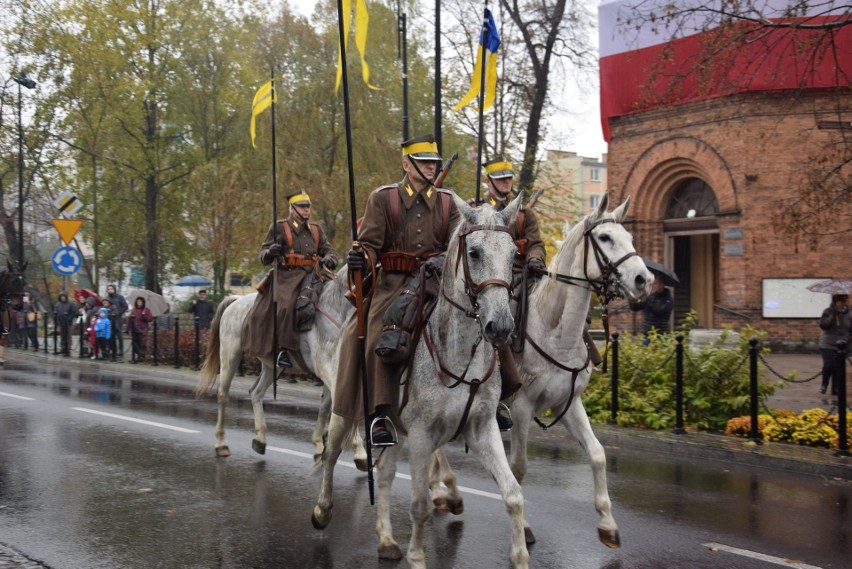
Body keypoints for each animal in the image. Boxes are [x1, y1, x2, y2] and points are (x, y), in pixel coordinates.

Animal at [196, 268, 370, 468]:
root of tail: (236, 302)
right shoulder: (327, 370)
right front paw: (360, 451)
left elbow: (326, 408)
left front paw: (319, 446)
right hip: (230, 354)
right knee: (223, 395)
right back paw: (221, 443)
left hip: (270, 366)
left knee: (256, 392)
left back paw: (260, 439)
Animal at [310, 194, 528, 568]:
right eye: (474, 253)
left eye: (514, 254)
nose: (500, 326)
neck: (459, 356)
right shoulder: (424, 436)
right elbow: (419, 506)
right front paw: (417, 557)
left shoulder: (482, 429)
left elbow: (513, 494)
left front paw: (521, 556)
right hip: (344, 409)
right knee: (331, 453)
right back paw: (323, 511)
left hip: (393, 429)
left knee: (383, 474)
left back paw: (386, 540)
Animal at [430, 194, 648, 544]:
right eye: (605, 238)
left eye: (629, 237)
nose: (644, 279)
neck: (556, 332)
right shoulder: (521, 409)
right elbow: (518, 467)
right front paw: (525, 527)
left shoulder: (568, 404)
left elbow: (598, 454)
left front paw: (607, 523)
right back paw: (445, 490)